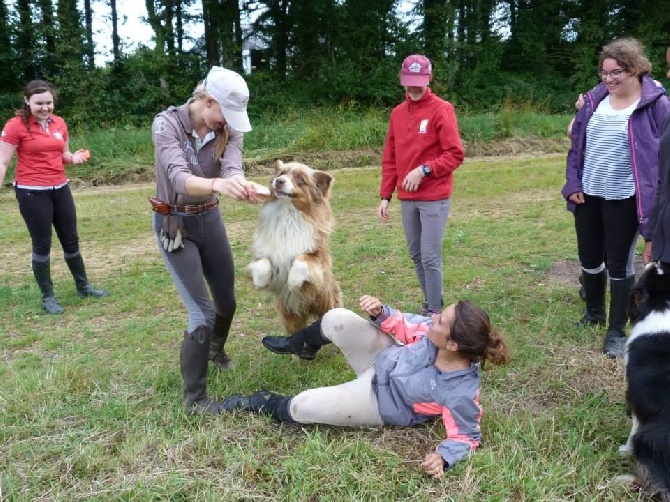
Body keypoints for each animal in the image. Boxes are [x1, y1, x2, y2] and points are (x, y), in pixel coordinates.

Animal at [247, 161, 344, 334]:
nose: (279, 181)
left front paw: (292, 283)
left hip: (328, 305)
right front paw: (260, 282)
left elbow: (301, 260)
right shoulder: (263, 252)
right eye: (281, 174)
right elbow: (264, 264)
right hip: (289, 316)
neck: (288, 213)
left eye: (300, 179)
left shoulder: (318, 255)